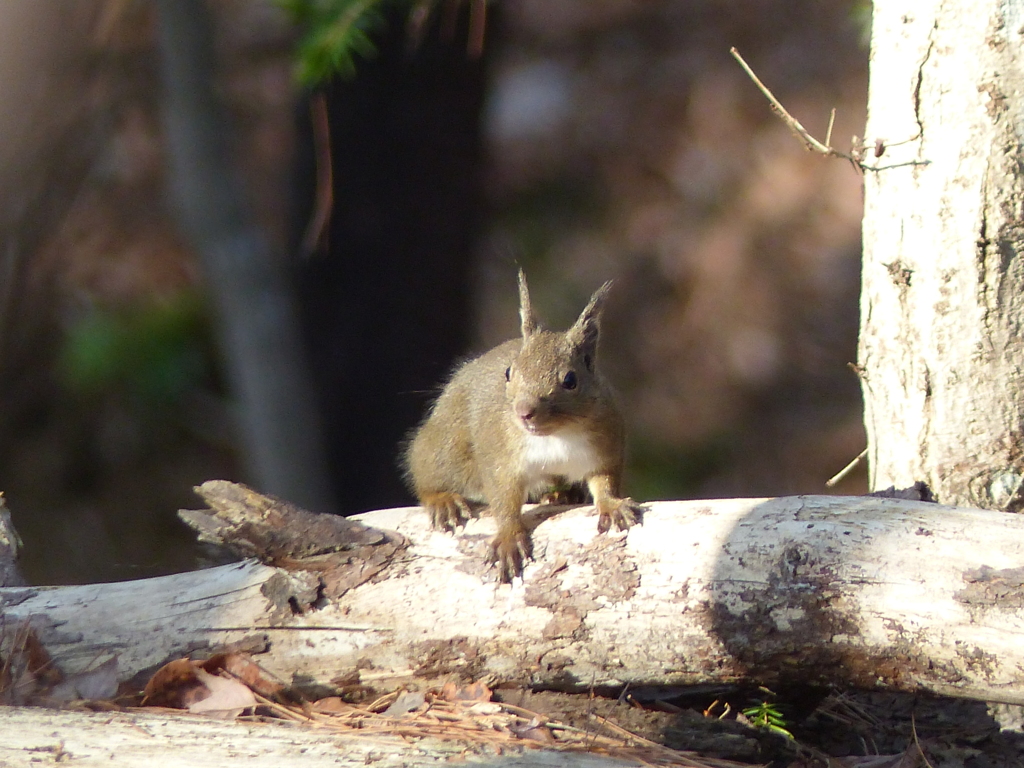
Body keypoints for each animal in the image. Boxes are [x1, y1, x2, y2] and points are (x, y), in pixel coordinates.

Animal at [403, 270, 643, 581]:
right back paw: (442, 500)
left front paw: (612, 505)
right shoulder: (501, 458)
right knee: (427, 476)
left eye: (570, 380)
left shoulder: (605, 445)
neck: (557, 435)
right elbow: (503, 498)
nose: (524, 412)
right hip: (444, 448)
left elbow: (605, 480)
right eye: (509, 372)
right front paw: (508, 538)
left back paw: (561, 494)